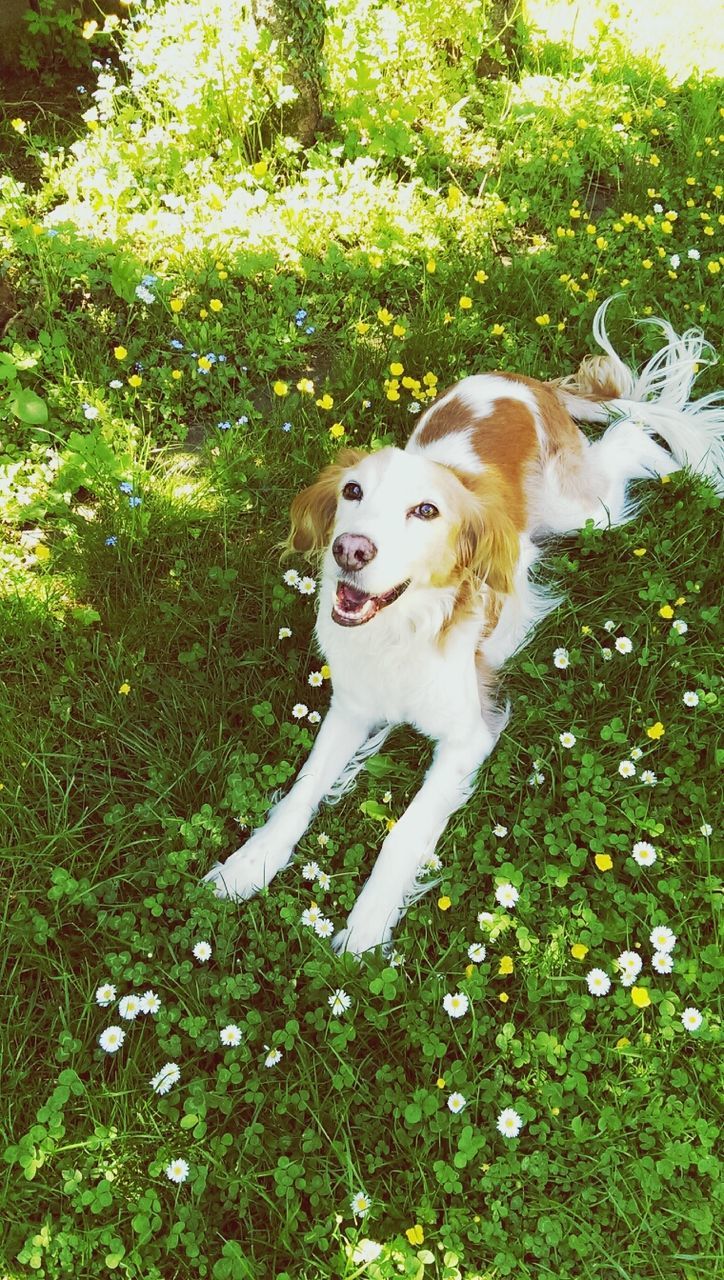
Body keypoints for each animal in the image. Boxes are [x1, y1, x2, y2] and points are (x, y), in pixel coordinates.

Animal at [205, 299, 724, 957]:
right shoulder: (350, 708)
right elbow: (302, 790)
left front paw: (367, 923)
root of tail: (521, 381)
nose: (351, 549)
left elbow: (403, 828)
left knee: (631, 434)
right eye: (352, 491)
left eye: (426, 511)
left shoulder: (468, 734)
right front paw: (248, 865)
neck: (399, 633)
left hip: (587, 510)